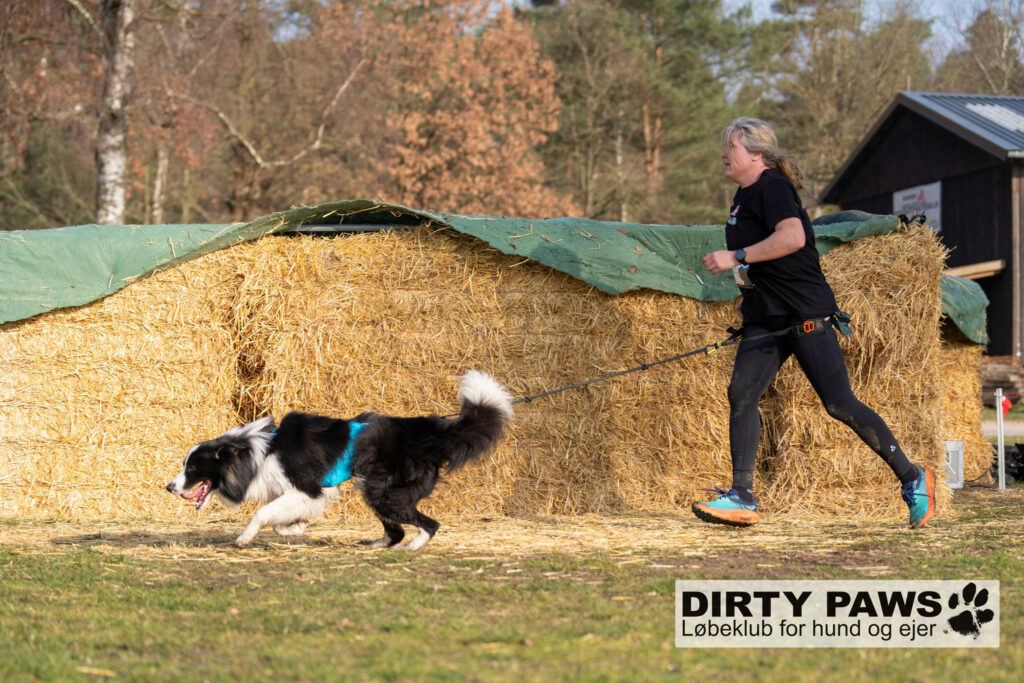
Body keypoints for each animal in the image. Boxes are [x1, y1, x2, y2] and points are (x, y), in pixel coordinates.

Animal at [166, 370, 512, 552]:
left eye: (192, 467)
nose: (168, 487)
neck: (255, 454)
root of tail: (427, 434)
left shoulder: (305, 489)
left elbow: (263, 513)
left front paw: (245, 537)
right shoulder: (302, 495)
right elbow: (279, 521)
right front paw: (296, 528)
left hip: (383, 492)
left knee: (429, 524)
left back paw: (412, 547)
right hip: (375, 492)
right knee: (396, 530)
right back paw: (377, 546)